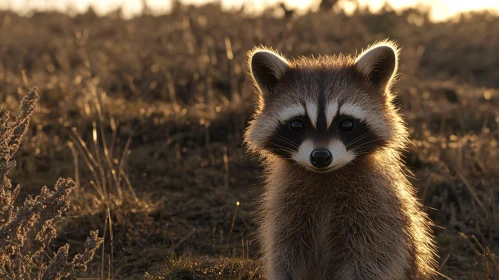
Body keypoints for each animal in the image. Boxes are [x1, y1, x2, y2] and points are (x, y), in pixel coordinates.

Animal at [245, 42, 438, 280]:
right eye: (297, 125)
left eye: (347, 124)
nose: (320, 157)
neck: (324, 176)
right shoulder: (286, 209)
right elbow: (284, 254)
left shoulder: (377, 209)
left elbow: (374, 258)